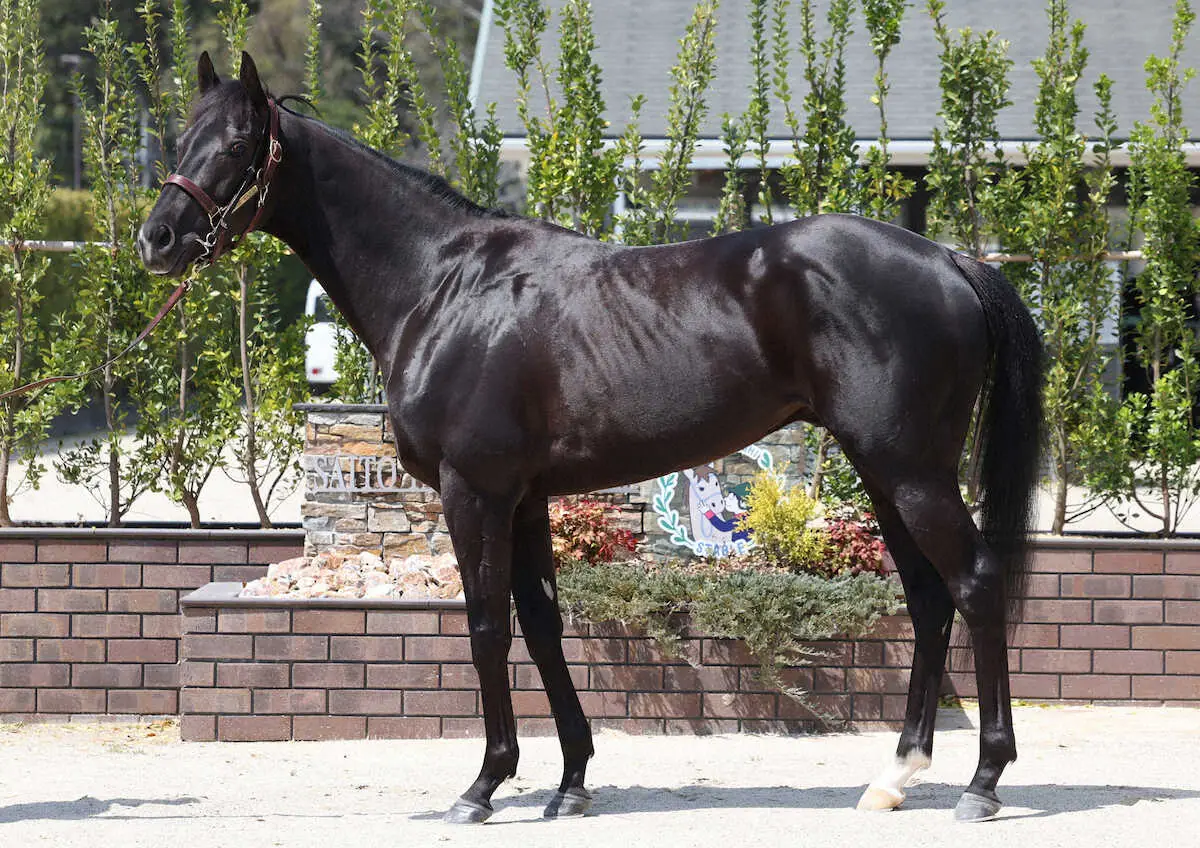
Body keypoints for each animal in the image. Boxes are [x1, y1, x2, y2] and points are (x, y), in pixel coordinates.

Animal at [139, 52, 1043, 825]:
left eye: (239, 144)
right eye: (182, 138)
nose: (159, 239)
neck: (444, 285)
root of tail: (950, 260)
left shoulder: (476, 491)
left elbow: (486, 626)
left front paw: (483, 785)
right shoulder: (527, 499)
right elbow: (542, 623)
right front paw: (570, 781)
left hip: (912, 470)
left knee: (974, 585)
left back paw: (984, 780)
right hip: (884, 470)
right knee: (928, 601)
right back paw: (895, 778)